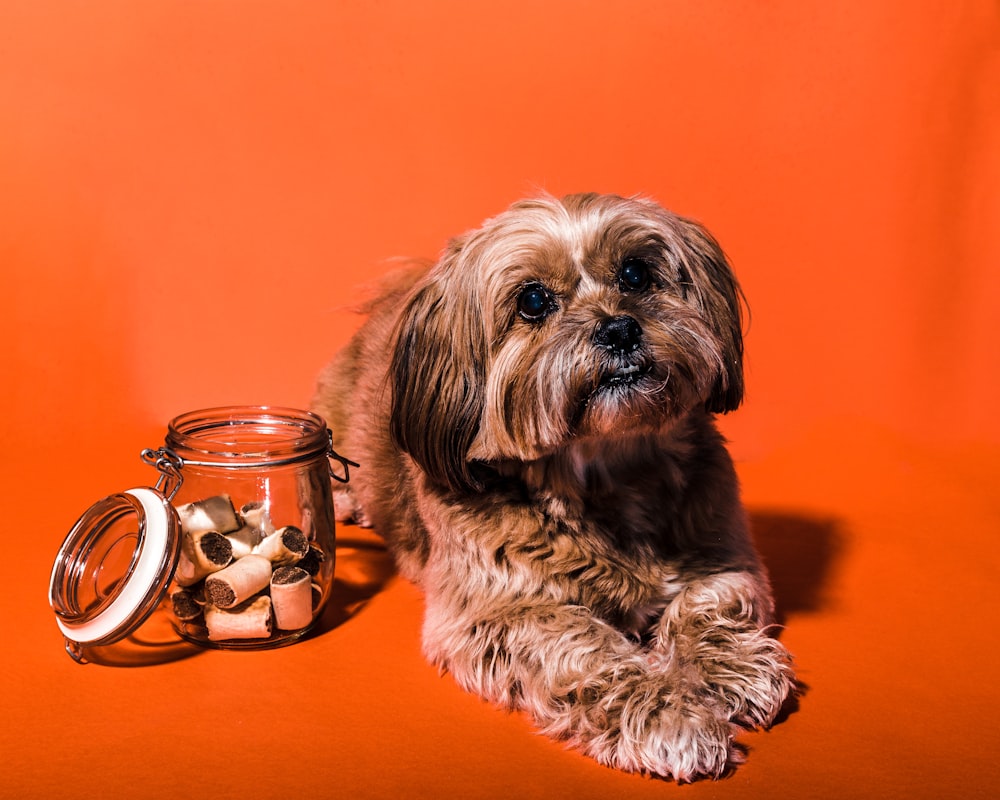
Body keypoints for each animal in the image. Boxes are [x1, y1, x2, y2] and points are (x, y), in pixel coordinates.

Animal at [312, 194, 796, 780]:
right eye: (533, 300)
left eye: (635, 273)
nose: (619, 329)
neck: (607, 475)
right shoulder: (501, 614)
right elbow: (585, 649)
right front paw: (667, 713)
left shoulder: (723, 556)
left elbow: (708, 605)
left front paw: (729, 669)